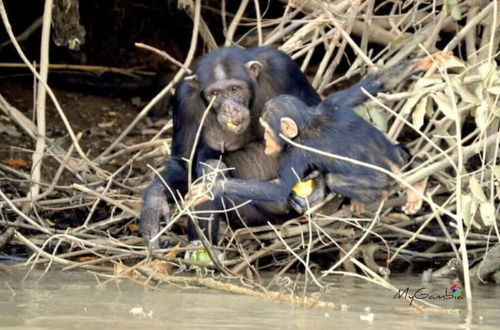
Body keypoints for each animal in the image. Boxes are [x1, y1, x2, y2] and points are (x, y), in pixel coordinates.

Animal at [139, 47, 322, 248]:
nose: (230, 108)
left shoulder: (284, 69)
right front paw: (154, 203)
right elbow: (183, 163)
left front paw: (318, 189)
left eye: (234, 89)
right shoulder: (184, 102)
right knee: (212, 168)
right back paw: (201, 248)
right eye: (215, 93)